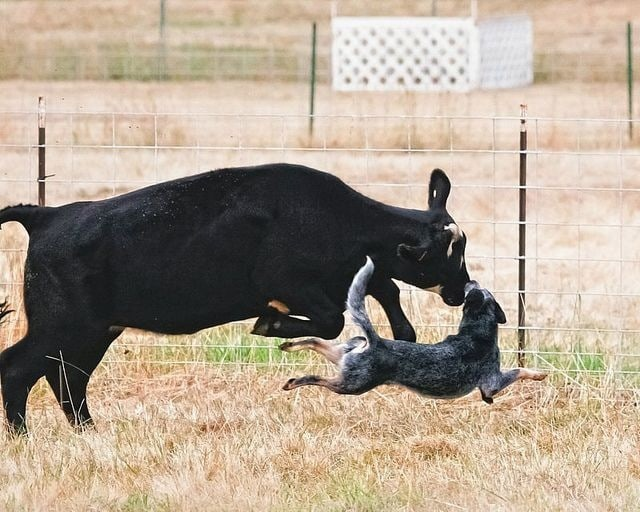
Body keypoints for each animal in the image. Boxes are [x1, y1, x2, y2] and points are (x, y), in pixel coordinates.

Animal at [0, 163, 470, 432]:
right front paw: (272, 324)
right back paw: (22, 437)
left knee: (68, 379)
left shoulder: (349, 275)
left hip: (91, 332)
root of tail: (48, 215)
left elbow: (387, 292)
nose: (463, 290)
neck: (339, 218)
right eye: (451, 254)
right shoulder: (291, 284)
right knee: (19, 369)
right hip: (63, 326)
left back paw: (88, 432)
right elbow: (333, 318)